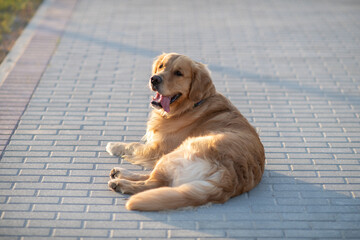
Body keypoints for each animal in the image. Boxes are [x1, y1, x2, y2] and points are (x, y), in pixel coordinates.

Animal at [105, 53, 266, 212]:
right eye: (161, 66)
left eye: (178, 73)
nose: (154, 79)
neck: (192, 105)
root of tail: (229, 177)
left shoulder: (158, 149)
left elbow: (134, 145)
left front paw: (113, 145)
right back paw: (119, 173)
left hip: (175, 153)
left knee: (154, 183)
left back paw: (120, 183)